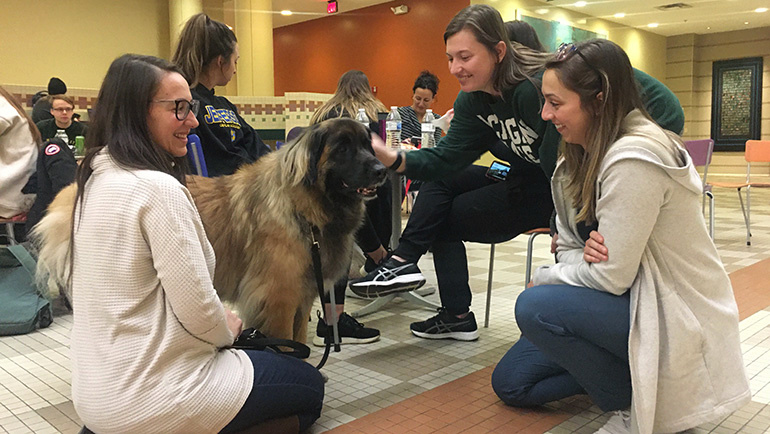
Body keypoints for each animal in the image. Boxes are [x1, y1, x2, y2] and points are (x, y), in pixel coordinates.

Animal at [33, 119, 388, 342]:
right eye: (342, 148)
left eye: (367, 146)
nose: (382, 169)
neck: (303, 207)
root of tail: (73, 190)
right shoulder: (279, 298)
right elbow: (288, 341)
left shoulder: (302, 295)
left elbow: (299, 338)